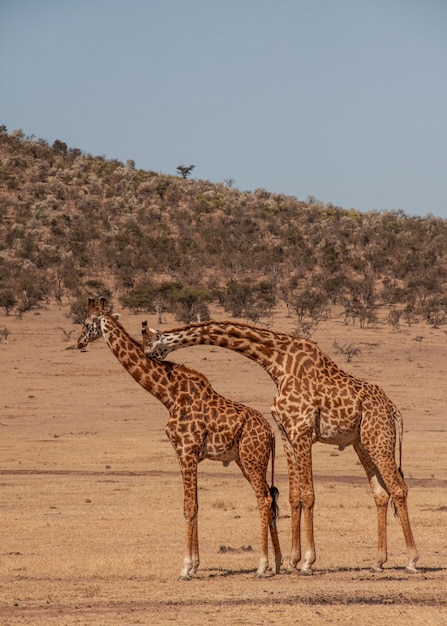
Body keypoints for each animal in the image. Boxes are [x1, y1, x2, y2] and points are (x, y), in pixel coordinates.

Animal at [75, 300, 282, 576]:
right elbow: (195, 505)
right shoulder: (185, 453)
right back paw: (279, 562)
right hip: (246, 460)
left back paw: (262, 565)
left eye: (88, 323)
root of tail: (270, 433)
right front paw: (194, 565)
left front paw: (186, 568)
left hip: (252, 459)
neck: (168, 395)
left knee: (264, 499)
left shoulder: (186, 450)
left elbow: (188, 507)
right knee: (269, 499)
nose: (79, 342)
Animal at [143, 320, 420, 572]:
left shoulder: (302, 431)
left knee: (399, 488)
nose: (148, 356)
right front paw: (291, 562)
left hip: (379, 439)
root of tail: (393, 409)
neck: (277, 363)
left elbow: (308, 494)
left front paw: (307, 561)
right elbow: (294, 496)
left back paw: (411, 560)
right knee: (381, 493)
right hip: (362, 443)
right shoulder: (287, 434)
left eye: (149, 343)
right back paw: (378, 561)